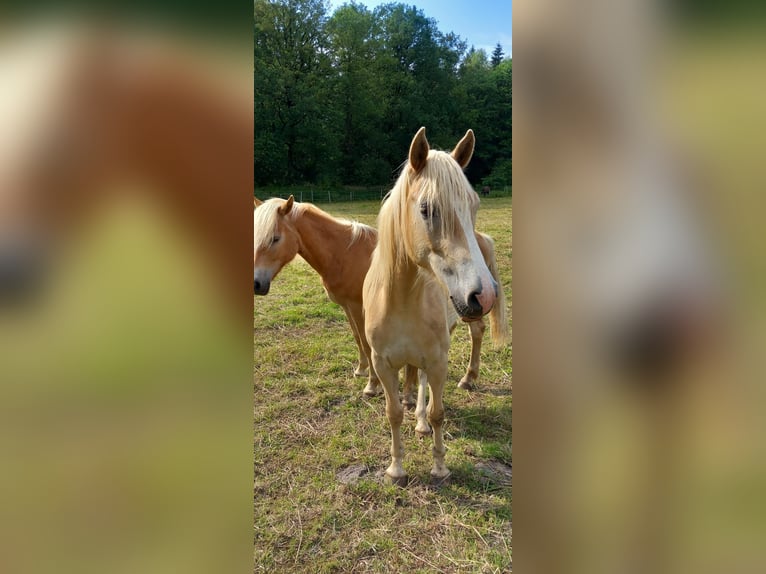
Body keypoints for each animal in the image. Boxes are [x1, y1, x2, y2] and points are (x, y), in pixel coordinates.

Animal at [364, 127, 500, 486]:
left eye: (474, 205)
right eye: (426, 209)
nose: (485, 295)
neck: (400, 300)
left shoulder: (439, 359)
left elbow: (439, 413)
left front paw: (439, 467)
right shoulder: (382, 364)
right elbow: (394, 413)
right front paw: (396, 469)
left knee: (475, 335)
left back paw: (466, 380)